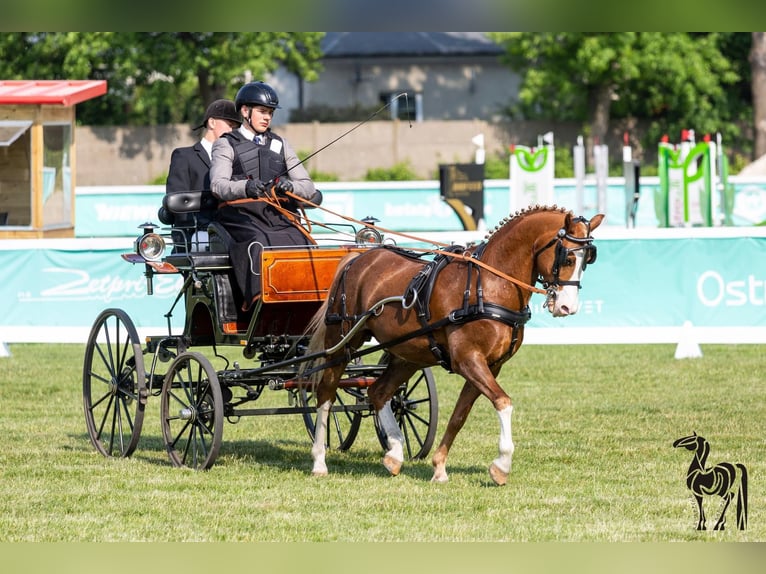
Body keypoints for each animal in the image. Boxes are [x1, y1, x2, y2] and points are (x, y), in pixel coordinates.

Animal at [304, 207, 604, 486]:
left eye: (587, 260)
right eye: (567, 258)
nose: (567, 307)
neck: (488, 286)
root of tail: (359, 257)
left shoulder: (490, 366)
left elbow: (460, 415)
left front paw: (439, 467)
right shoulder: (468, 360)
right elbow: (503, 402)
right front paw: (502, 465)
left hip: (408, 355)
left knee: (378, 392)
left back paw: (395, 454)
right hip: (341, 342)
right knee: (326, 394)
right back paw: (319, 461)